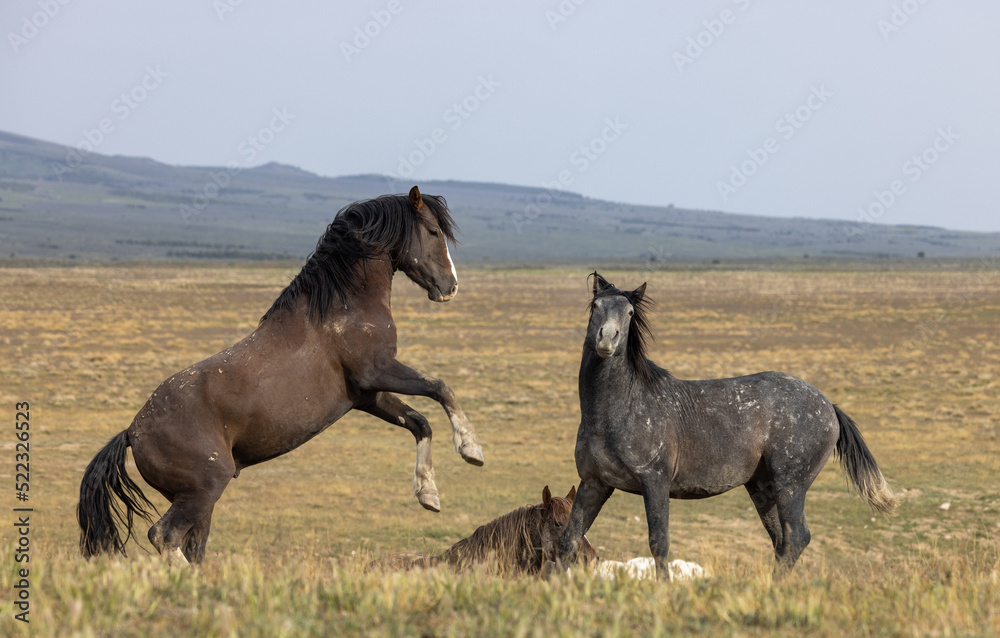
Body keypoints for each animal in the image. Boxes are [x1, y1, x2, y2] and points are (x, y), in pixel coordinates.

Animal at [78, 186, 485, 564]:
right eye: (432, 231)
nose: (450, 287)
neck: (343, 306)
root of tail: (132, 432)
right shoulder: (379, 372)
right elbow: (441, 388)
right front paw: (471, 450)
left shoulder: (367, 395)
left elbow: (419, 422)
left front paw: (429, 494)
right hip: (204, 490)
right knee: (164, 536)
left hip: (198, 499)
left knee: (193, 546)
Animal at [555, 272, 897, 579]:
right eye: (596, 305)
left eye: (628, 312)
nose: (607, 338)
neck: (617, 409)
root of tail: (828, 406)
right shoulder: (594, 484)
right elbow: (570, 540)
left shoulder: (654, 482)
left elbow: (658, 543)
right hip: (762, 488)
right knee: (781, 541)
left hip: (791, 484)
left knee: (797, 537)